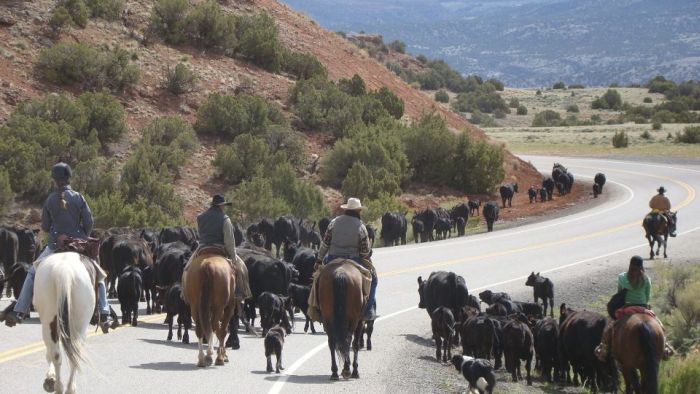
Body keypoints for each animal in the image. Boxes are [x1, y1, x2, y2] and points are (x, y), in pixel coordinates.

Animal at [34, 252, 95, 394]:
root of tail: (64, 269)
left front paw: (50, 378)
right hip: (80, 325)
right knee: (72, 353)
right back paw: (67, 388)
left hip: (50, 321)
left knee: (57, 353)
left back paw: (59, 386)